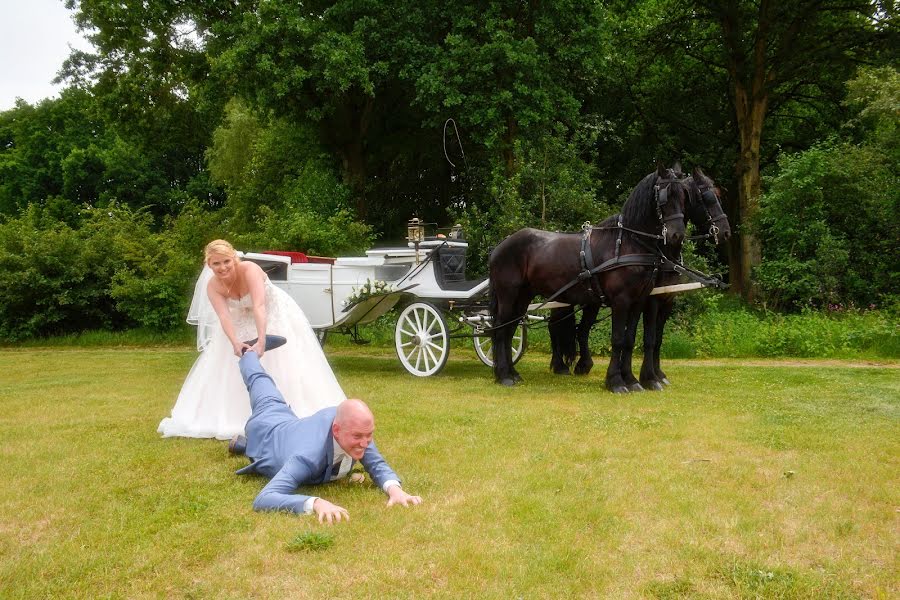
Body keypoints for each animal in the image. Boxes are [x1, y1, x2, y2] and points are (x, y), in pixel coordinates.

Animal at [488, 165, 684, 390]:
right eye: (665, 195)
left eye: (683, 195)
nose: (677, 235)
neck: (627, 244)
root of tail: (500, 246)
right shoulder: (621, 300)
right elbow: (618, 339)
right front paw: (616, 382)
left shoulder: (639, 301)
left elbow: (629, 339)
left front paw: (632, 380)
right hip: (508, 294)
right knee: (500, 329)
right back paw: (504, 375)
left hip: (523, 296)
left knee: (510, 329)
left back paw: (513, 373)